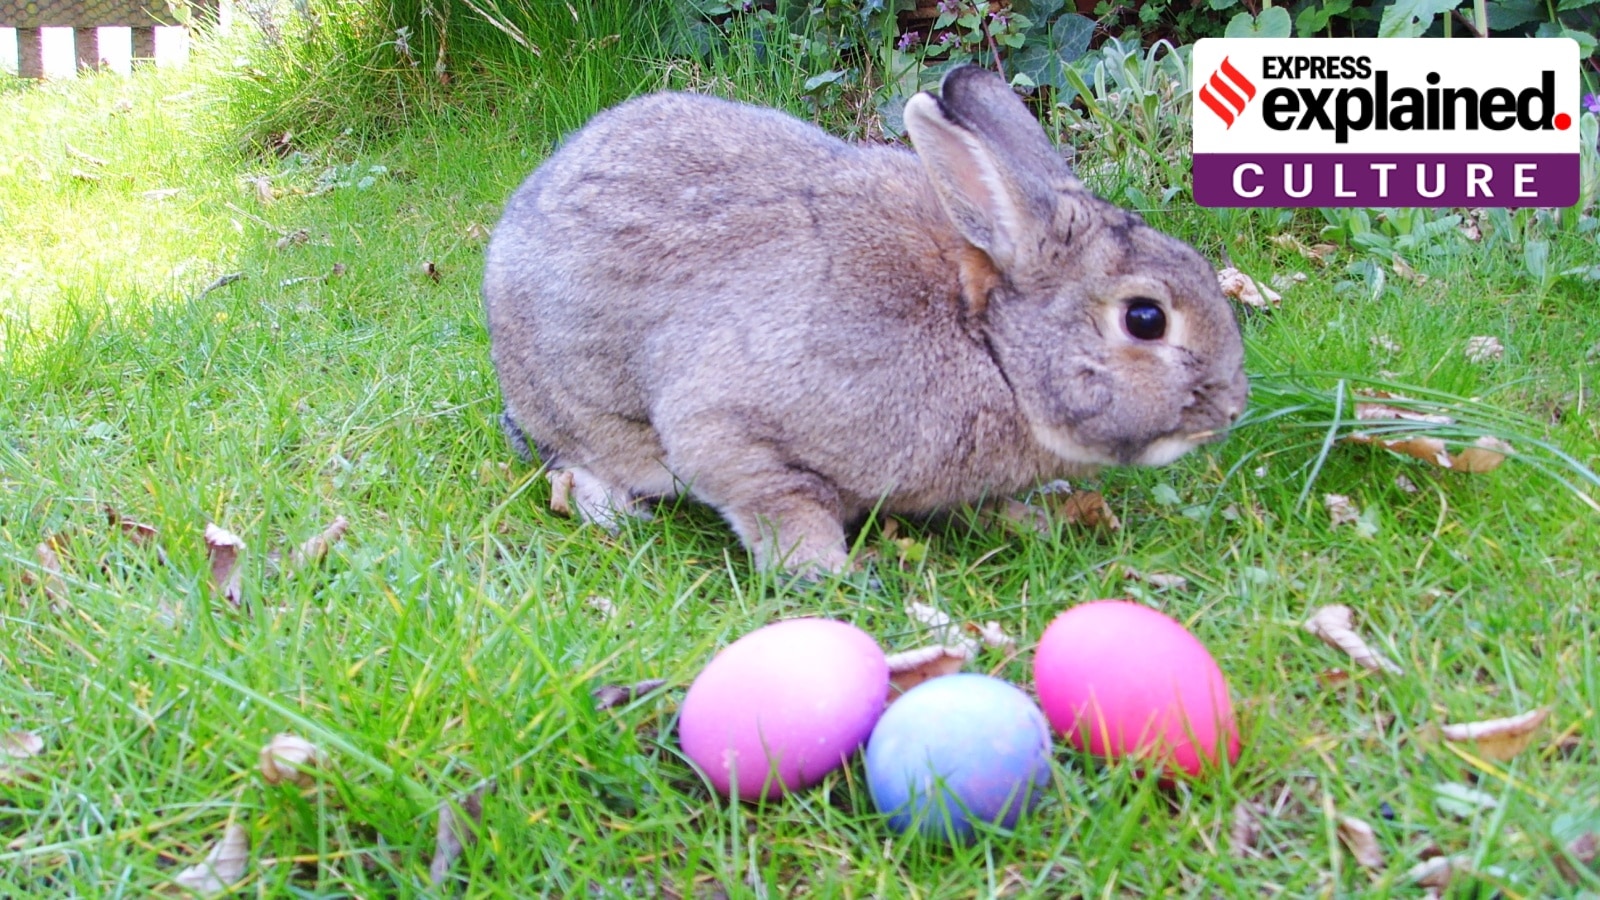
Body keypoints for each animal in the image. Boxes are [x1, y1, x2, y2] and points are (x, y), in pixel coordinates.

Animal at [483, 63, 1248, 577]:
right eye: (1145, 319)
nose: (1232, 407)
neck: (991, 347)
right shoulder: (731, 426)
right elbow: (777, 498)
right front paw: (828, 572)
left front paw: (1033, 518)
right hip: (583, 411)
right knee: (579, 461)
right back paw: (617, 511)